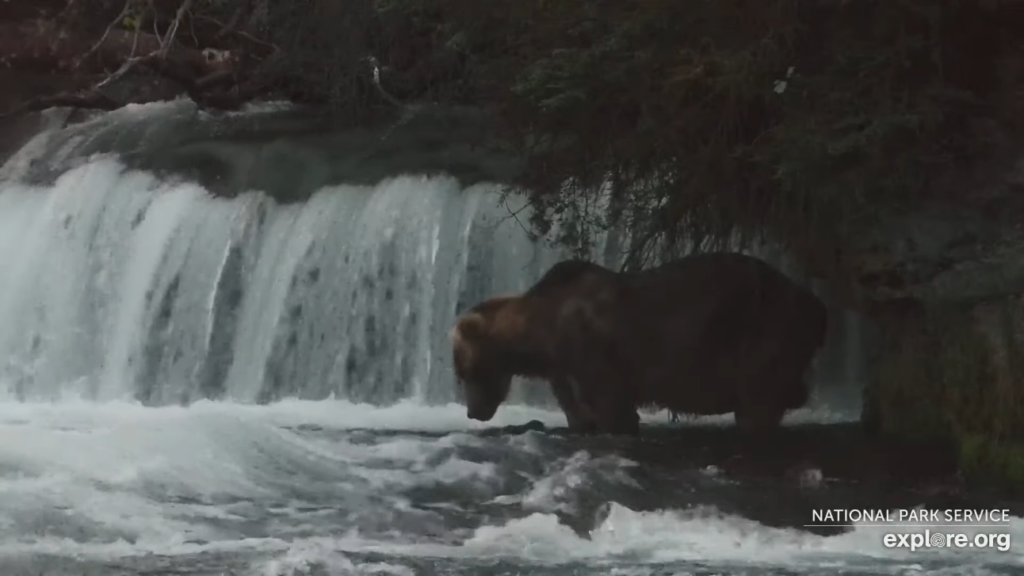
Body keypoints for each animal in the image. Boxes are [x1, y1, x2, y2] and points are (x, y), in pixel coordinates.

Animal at [452, 249, 827, 432]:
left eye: (463, 369)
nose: (472, 412)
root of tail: (814, 302)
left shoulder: (594, 353)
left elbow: (615, 410)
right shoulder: (565, 370)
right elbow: (579, 411)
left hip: (764, 333)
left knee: (757, 404)